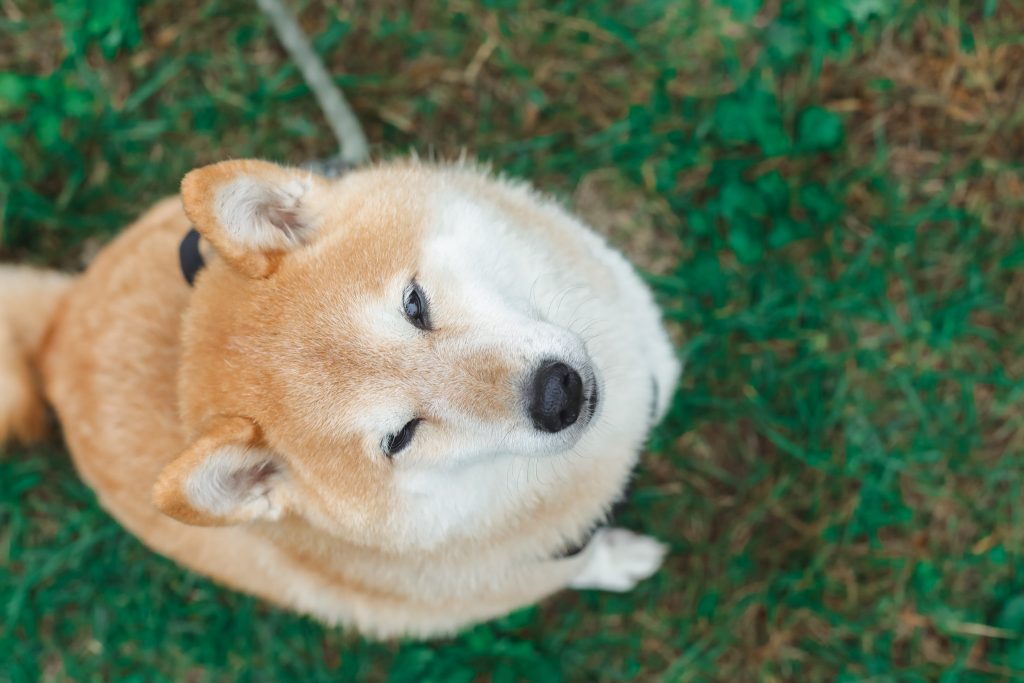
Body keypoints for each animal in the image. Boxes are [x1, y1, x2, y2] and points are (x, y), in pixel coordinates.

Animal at [0, 159, 680, 638]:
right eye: (401, 437)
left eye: (415, 304)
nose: (557, 394)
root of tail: (60, 330)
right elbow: (578, 563)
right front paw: (617, 559)